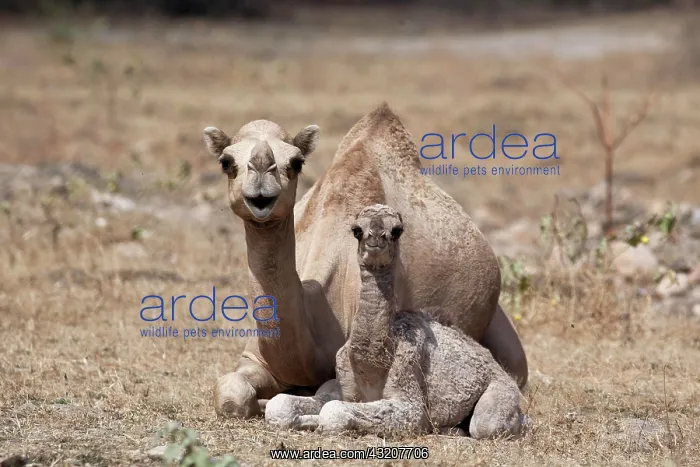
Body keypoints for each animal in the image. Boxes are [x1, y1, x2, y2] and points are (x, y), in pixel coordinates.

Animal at [312, 204, 522, 438]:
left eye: (397, 230)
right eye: (356, 230)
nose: (375, 237)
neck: (373, 362)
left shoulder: (407, 392)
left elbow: (334, 411)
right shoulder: (344, 386)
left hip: (502, 388)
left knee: (485, 424)